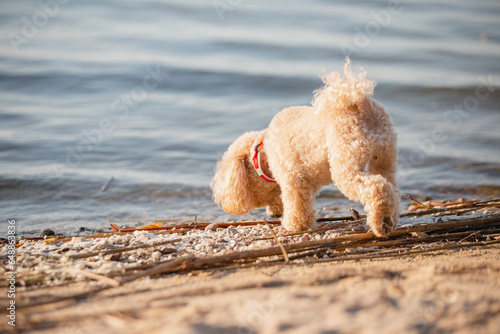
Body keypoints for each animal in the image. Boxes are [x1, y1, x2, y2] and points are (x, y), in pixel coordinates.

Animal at [210, 57, 398, 236]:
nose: (273, 215)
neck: (263, 151)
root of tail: (359, 103)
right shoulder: (307, 182)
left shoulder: (293, 177)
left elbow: (297, 205)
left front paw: (294, 225)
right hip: (385, 156)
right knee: (391, 187)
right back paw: (390, 219)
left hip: (346, 163)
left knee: (376, 187)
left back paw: (381, 223)